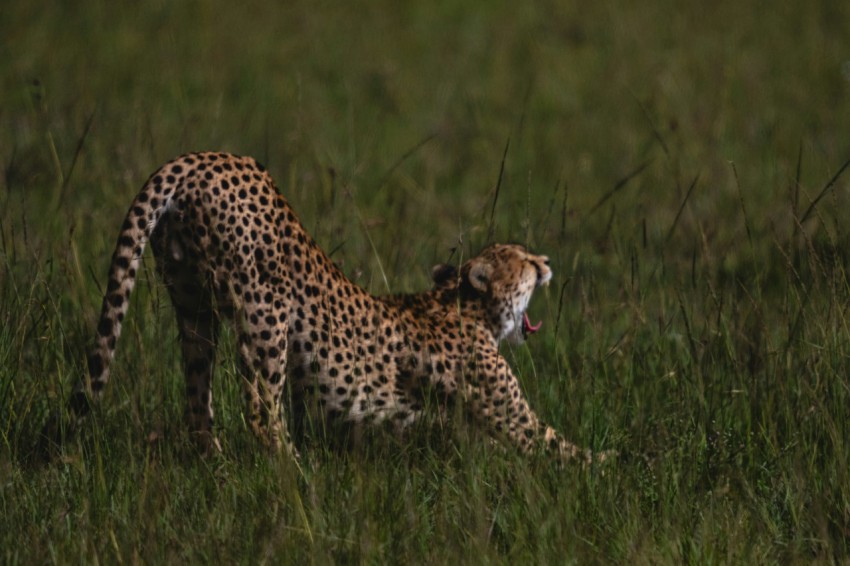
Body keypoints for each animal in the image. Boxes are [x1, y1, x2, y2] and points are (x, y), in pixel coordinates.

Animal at [73, 152, 600, 466]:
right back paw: (295, 472)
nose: (547, 263)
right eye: (525, 262)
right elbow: (560, 447)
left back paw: (215, 462)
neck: (463, 308)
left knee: (197, 398)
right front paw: (610, 468)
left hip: (191, 304)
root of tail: (203, 157)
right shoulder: (511, 419)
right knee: (260, 408)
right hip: (265, 308)